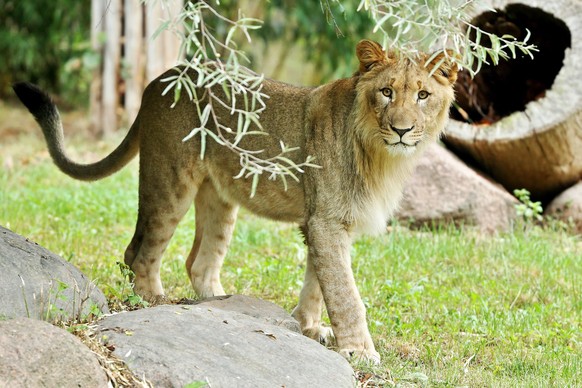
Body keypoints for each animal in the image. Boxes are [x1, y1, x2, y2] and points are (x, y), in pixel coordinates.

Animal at [13, 41, 458, 362]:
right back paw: (155, 299)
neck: (381, 157)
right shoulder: (326, 222)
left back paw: (217, 304)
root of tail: (159, 80)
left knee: (198, 262)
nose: (402, 130)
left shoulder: (327, 222)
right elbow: (345, 294)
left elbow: (319, 283)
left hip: (220, 197)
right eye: (386, 92)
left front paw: (310, 328)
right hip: (171, 181)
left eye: (423, 95)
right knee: (140, 251)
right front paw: (359, 351)